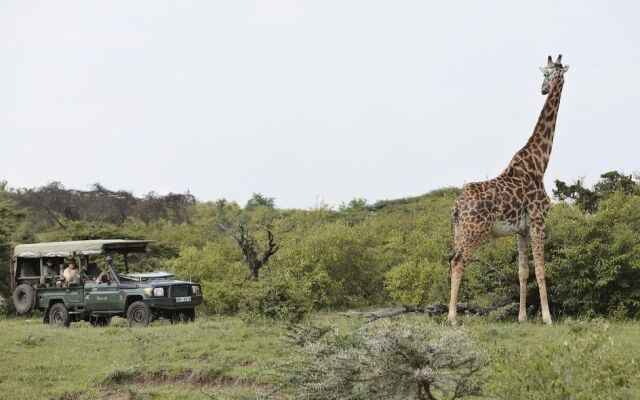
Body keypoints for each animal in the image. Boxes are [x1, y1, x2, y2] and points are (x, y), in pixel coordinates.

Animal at [450, 54, 568, 326]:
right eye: (544, 74)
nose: (543, 89)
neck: (539, 163)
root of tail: (457, 206)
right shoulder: (538, 220)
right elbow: (541, 268)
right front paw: (547, 318)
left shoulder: (521, 229)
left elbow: (523, 271)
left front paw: (522, 317)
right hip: (476, 230)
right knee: (459, 261)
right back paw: (452, 318)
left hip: (459, 230)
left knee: (451, 260)